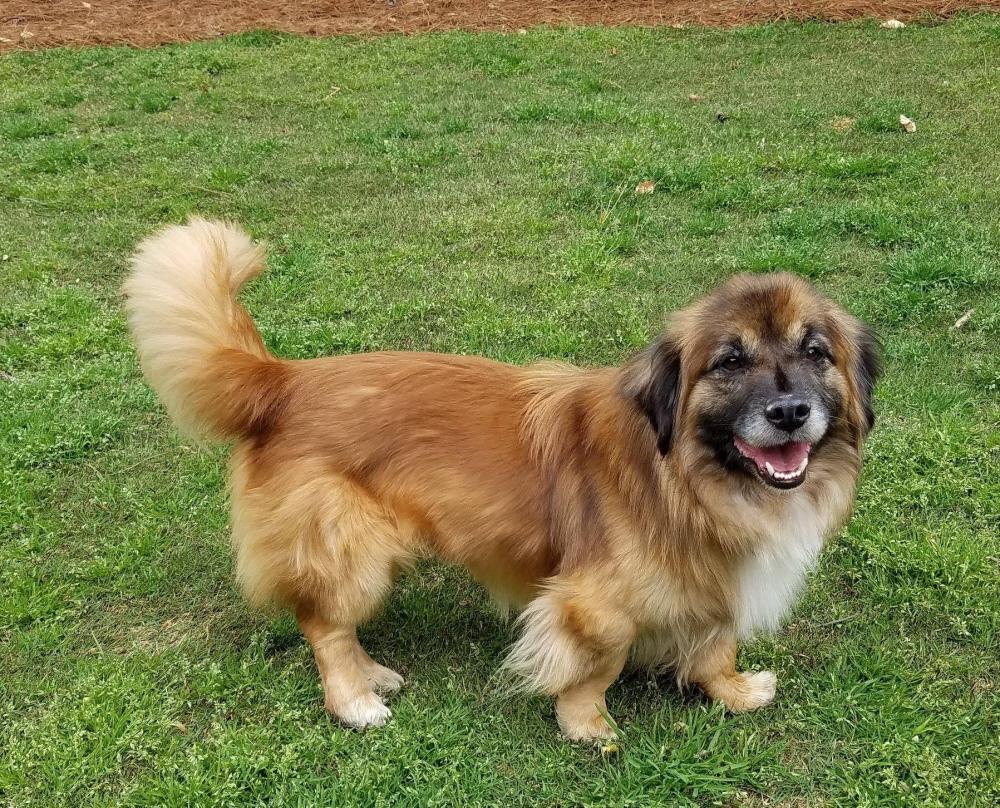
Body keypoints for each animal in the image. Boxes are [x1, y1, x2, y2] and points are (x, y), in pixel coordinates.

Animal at [127, 218, 884, 740]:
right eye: (730, 362)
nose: (789, 412)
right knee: (325, 625)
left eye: (815, 353)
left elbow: (715, 643)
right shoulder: (590, 603)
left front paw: (731, 690)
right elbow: (601, 661)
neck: (693, 480)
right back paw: (355, 699)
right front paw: (586, 725)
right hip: (350, 551)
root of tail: (282, 382)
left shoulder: (713, 577)